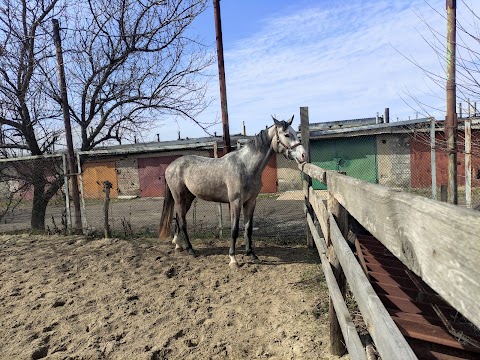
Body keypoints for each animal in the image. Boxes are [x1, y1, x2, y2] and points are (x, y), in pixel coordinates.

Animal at [159, 115, 306, 268]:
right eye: (287, 134)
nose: (303, 155)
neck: (245, 166)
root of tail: (170, 166)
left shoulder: (250, 202)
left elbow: (248, 228)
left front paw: (251, 254)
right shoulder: (235, 202)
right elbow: (234, 230)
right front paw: (233, 259)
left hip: (187, 198)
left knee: (178, 218)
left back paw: (178, 245)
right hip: (179, 198)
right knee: (182, 222)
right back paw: (190, 250)